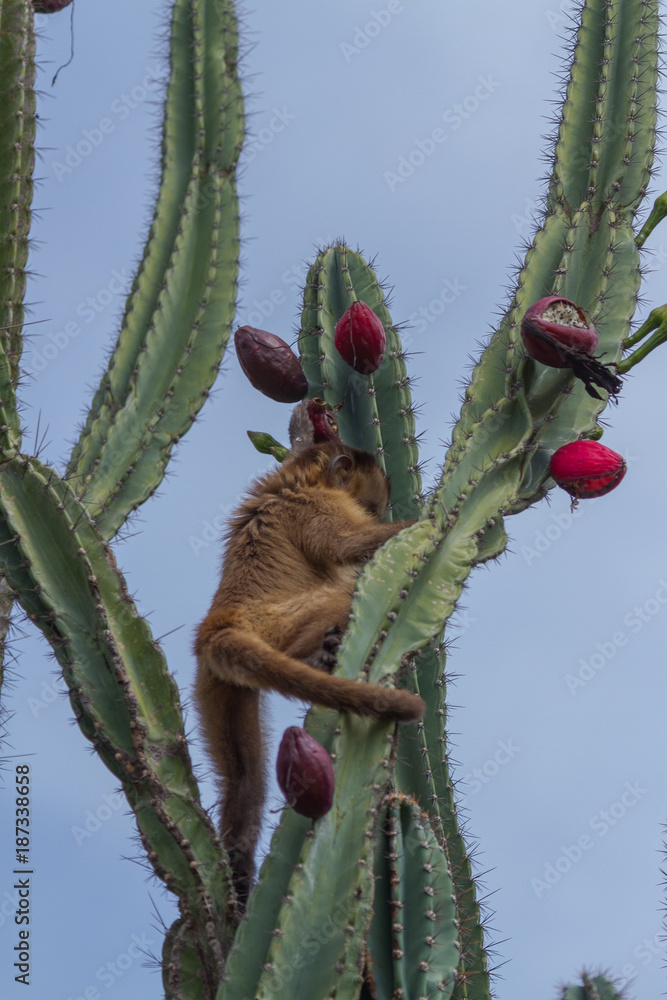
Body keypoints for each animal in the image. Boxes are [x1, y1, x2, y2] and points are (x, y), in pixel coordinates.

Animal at [194, 439, 425, 907]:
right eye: (370, 506)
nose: (375, 513)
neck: (296, 481)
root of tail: (219, 624)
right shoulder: (318, 504)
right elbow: (347, 546)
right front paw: (426, 521)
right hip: (276, 625)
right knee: (343, 591)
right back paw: (315, 656)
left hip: (214, 684)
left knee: (243, 782)